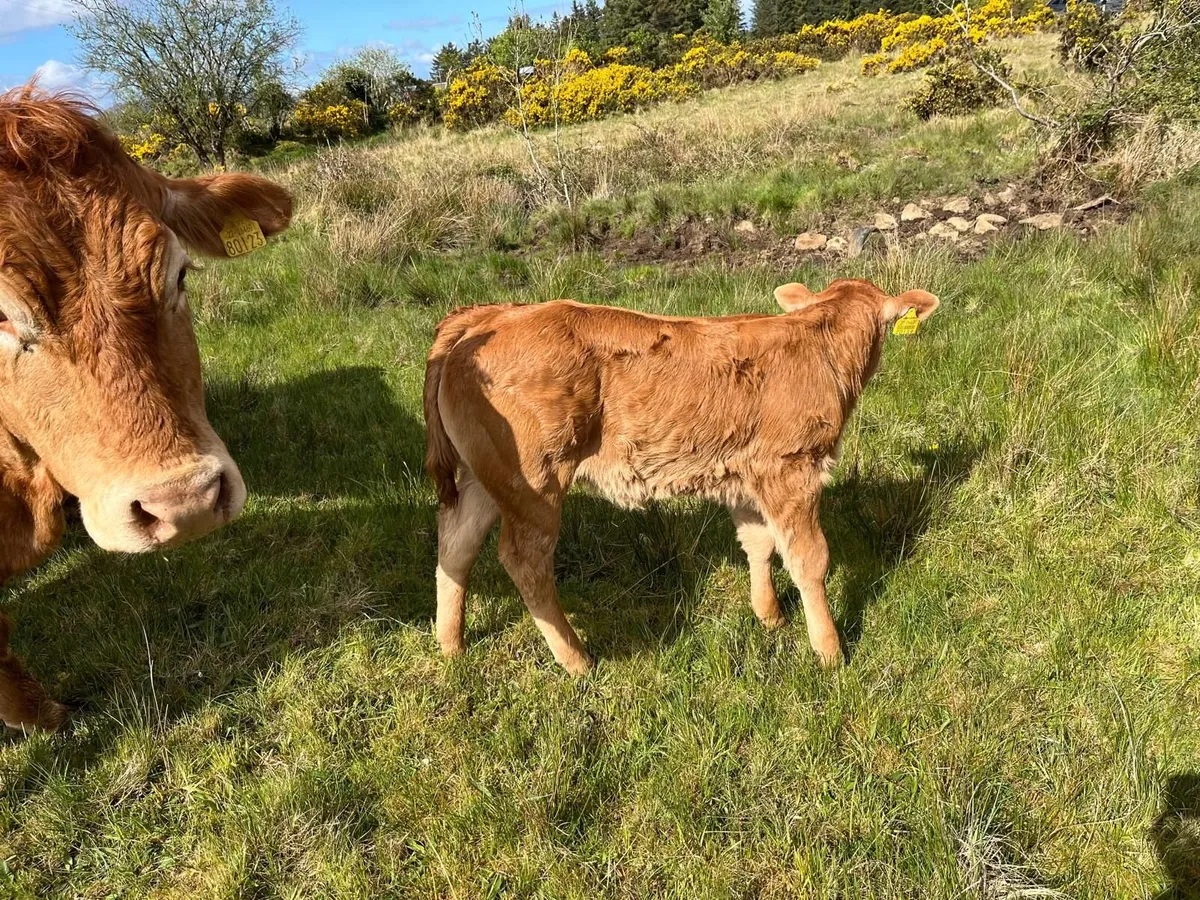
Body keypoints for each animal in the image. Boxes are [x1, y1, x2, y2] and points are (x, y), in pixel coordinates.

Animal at [423, 279, 939, 674]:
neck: (821, 343)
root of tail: (490, 314)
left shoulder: (744, 472)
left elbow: (758, 542)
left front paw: (769, 616)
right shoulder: (790, 467)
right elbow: (809, 558)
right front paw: (830, 651)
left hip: (483, 475)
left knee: (457, 544)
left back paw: (451, 645)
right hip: (535, 479)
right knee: (523, 559)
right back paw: (577, 660)